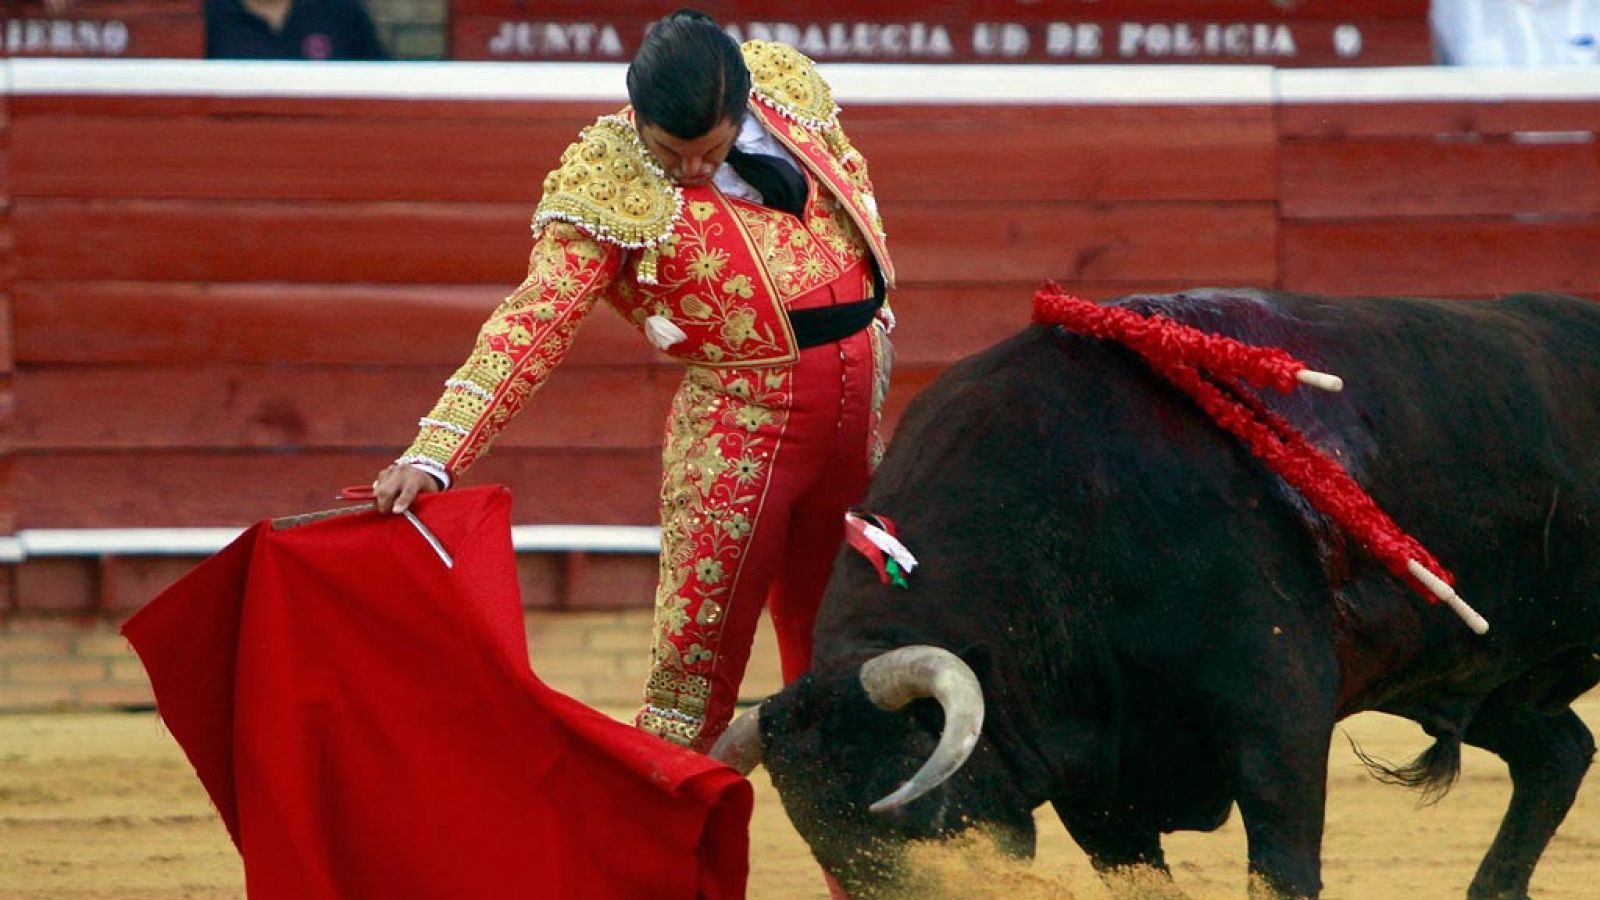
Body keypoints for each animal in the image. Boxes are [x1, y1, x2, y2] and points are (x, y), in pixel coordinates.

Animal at [713, 291, 1600, 890]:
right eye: (835, 859)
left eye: (921, 817)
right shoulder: (1099, 781)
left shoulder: (1277, 715)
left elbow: (1282, 862)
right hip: (1486, 681)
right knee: (1560, 752)